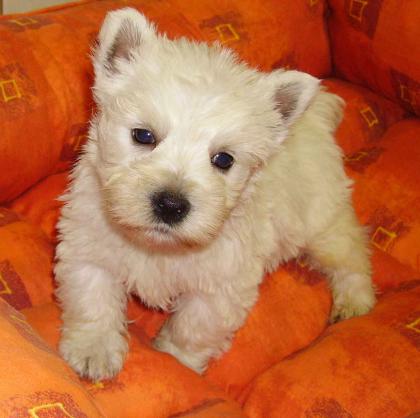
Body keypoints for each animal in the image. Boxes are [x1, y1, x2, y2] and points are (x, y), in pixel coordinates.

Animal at [54, 7, 376, 378]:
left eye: (223, 159)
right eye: (143, 136)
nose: (171, 205)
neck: (160, 248)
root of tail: (315, 121)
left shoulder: (220, 289)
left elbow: (192, 329)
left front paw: (176, 360)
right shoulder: (87, 248)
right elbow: (92, 299)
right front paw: (93, 351)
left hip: (323, 224)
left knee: (352, 254)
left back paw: (355, 300)